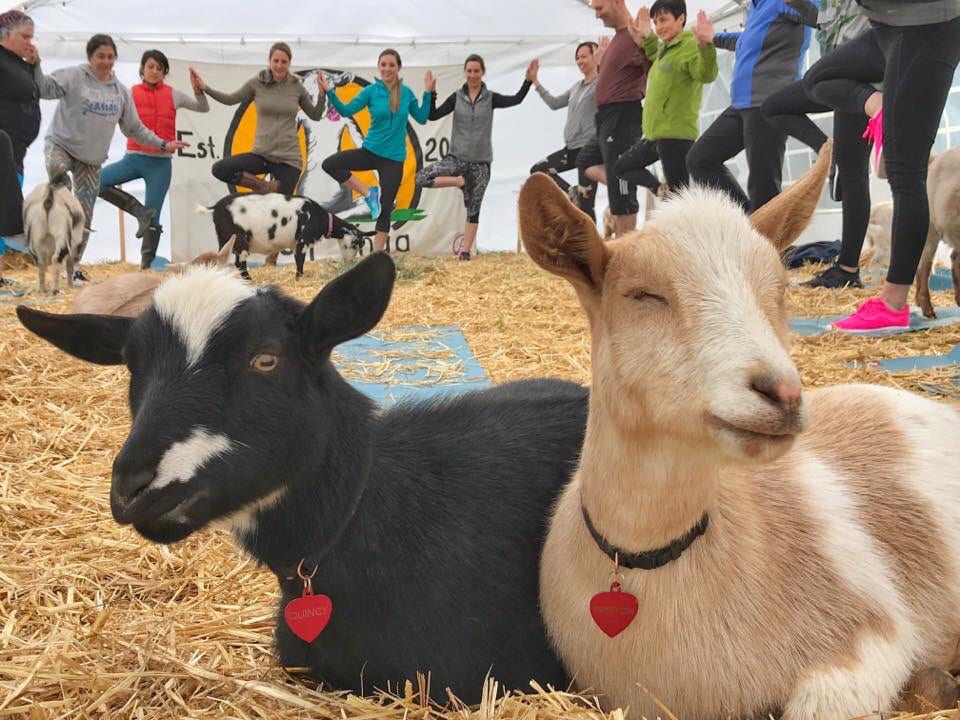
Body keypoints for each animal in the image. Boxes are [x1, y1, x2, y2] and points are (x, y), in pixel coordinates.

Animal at [196, 193, 374, 280]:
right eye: (357, 243)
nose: (350, 263)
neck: (318, 218)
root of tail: (216, 207)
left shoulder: (295, 244)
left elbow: (297, 261)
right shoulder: (303, 241)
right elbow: (300, 262)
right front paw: (299, 278)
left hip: (225, 240)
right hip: (239, 241)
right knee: (240, 263)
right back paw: (248, 280)